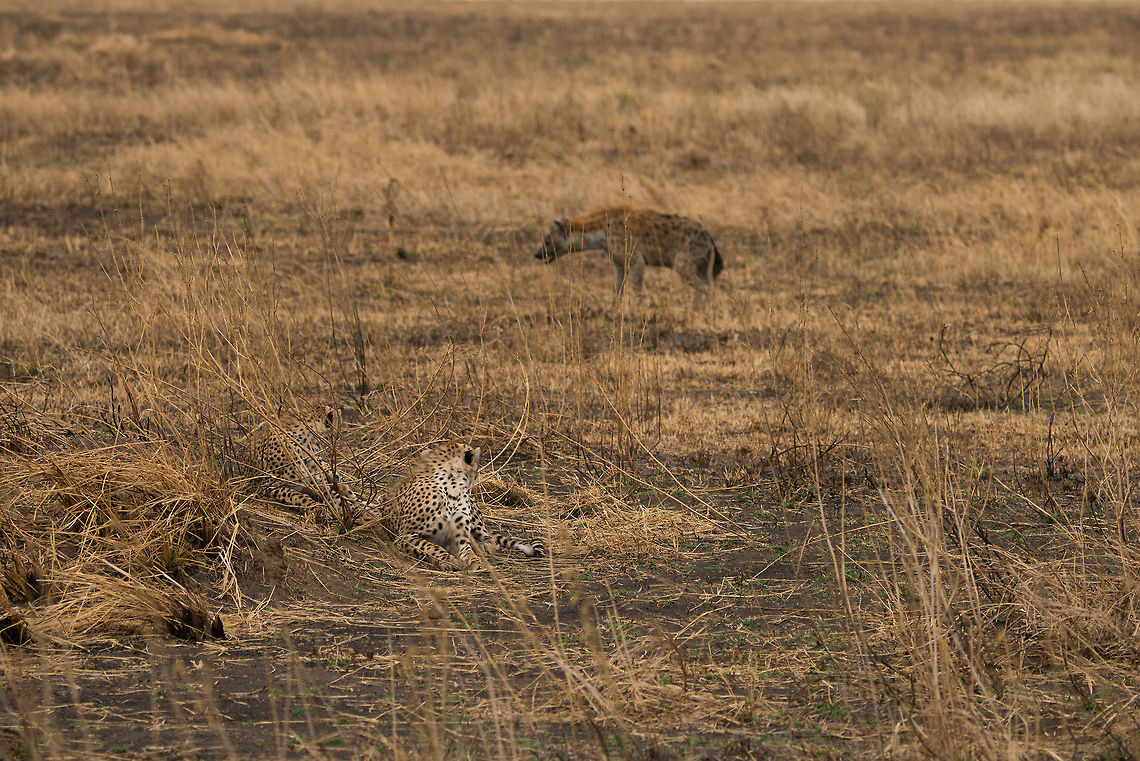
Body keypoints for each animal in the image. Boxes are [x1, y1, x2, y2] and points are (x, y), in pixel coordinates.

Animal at [388, 442, 546, 571]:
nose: (477, 474)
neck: (451, 489)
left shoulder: (460, 536)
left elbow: (467, 551)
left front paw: (476, 562)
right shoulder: (405, 536)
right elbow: (431, 547)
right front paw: (448, 561)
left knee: (489, 538)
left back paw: (483, 547)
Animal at [534, 207, 724, 299]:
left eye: (548, 241)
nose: (537, 253)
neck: (601, 233)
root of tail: (710, 237)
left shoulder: (636, 260)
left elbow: (637, 290)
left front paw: (640, 313)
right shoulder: (620, 263)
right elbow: (618, 289)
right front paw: (612, 312)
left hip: (684, 264)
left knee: (708, 289)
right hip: (700, 264)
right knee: (706, 285)